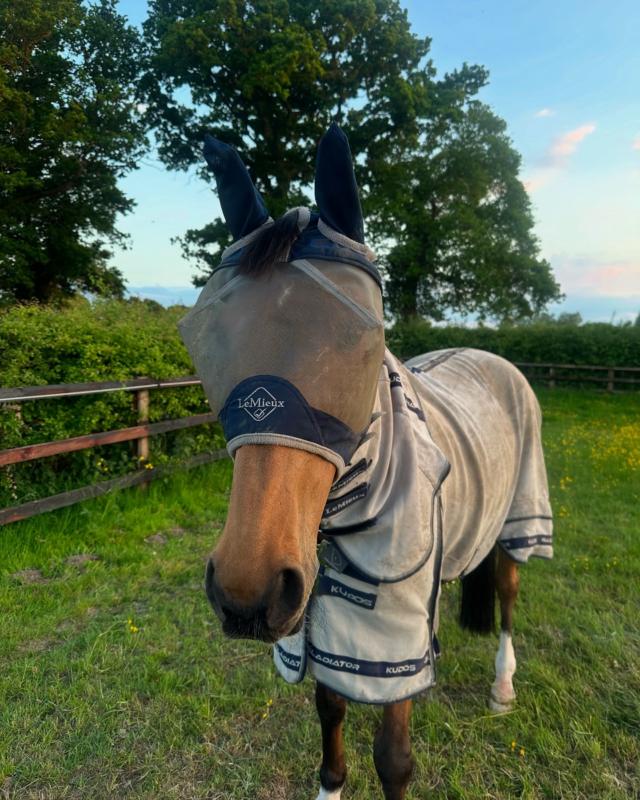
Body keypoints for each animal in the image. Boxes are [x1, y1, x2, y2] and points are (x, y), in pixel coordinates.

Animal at [179, 123, 553, 800]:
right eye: (208, 343)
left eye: (360, 340)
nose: (245, 592)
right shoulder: (317, 621)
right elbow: (330, 710)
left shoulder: (387, 635)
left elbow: (393, 758)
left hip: (519, 518)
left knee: (509, 596)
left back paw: (503, 686)